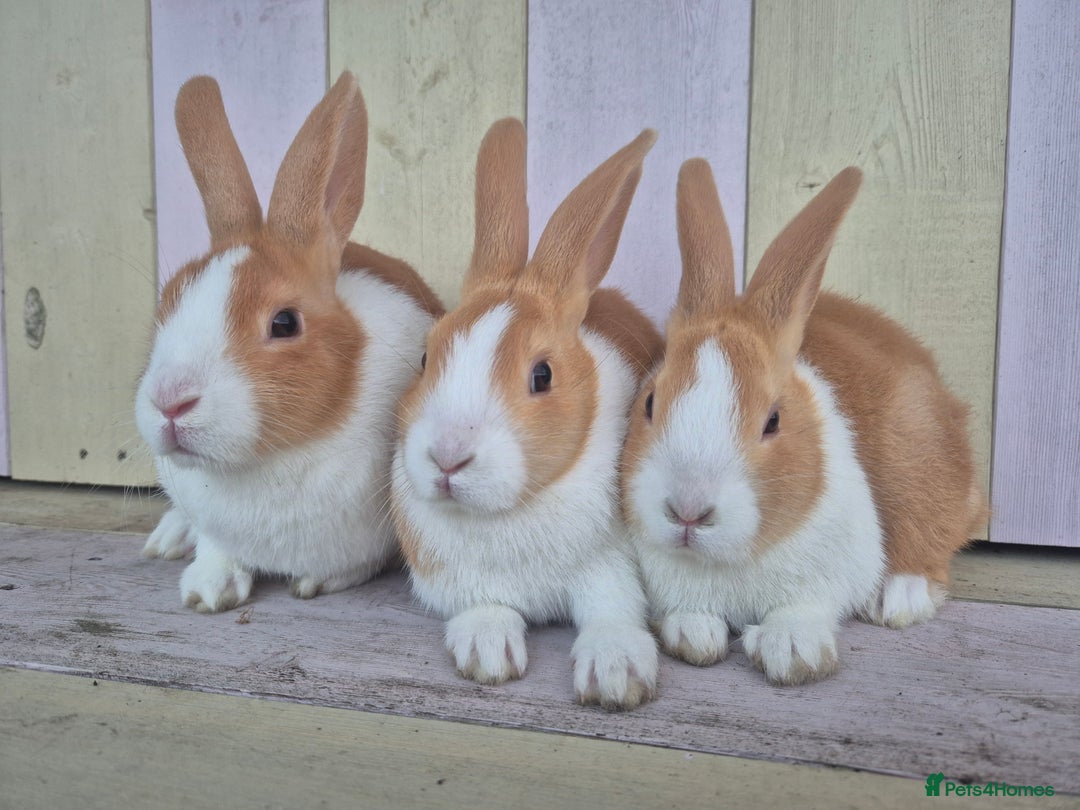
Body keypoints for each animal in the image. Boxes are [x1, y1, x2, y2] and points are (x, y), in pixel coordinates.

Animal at [136, 72, 443, 612]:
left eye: (283, 323)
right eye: (169, 302)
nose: (170, 402)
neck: (267, 460)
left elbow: (357, 566)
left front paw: (316, 582)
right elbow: (216, 546)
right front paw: (207, 591)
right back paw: (168, 539)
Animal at [389, 118, 664, 709]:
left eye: (542, 376)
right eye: (424, 358)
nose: (448, 458)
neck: (507, 511)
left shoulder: (610, 563)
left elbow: (614, 609)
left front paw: (616, 672)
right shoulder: (456, 578)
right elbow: (483, 608)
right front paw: (487, 653)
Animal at [620, 159, 988, 685]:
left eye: (773, 421)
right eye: (649, 403)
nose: (688, 512)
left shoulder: (831, 573)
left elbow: (804, 610)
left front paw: (793, 651)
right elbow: (689, 617)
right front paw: (695, 635)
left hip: (920, 468)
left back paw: (898, 597)